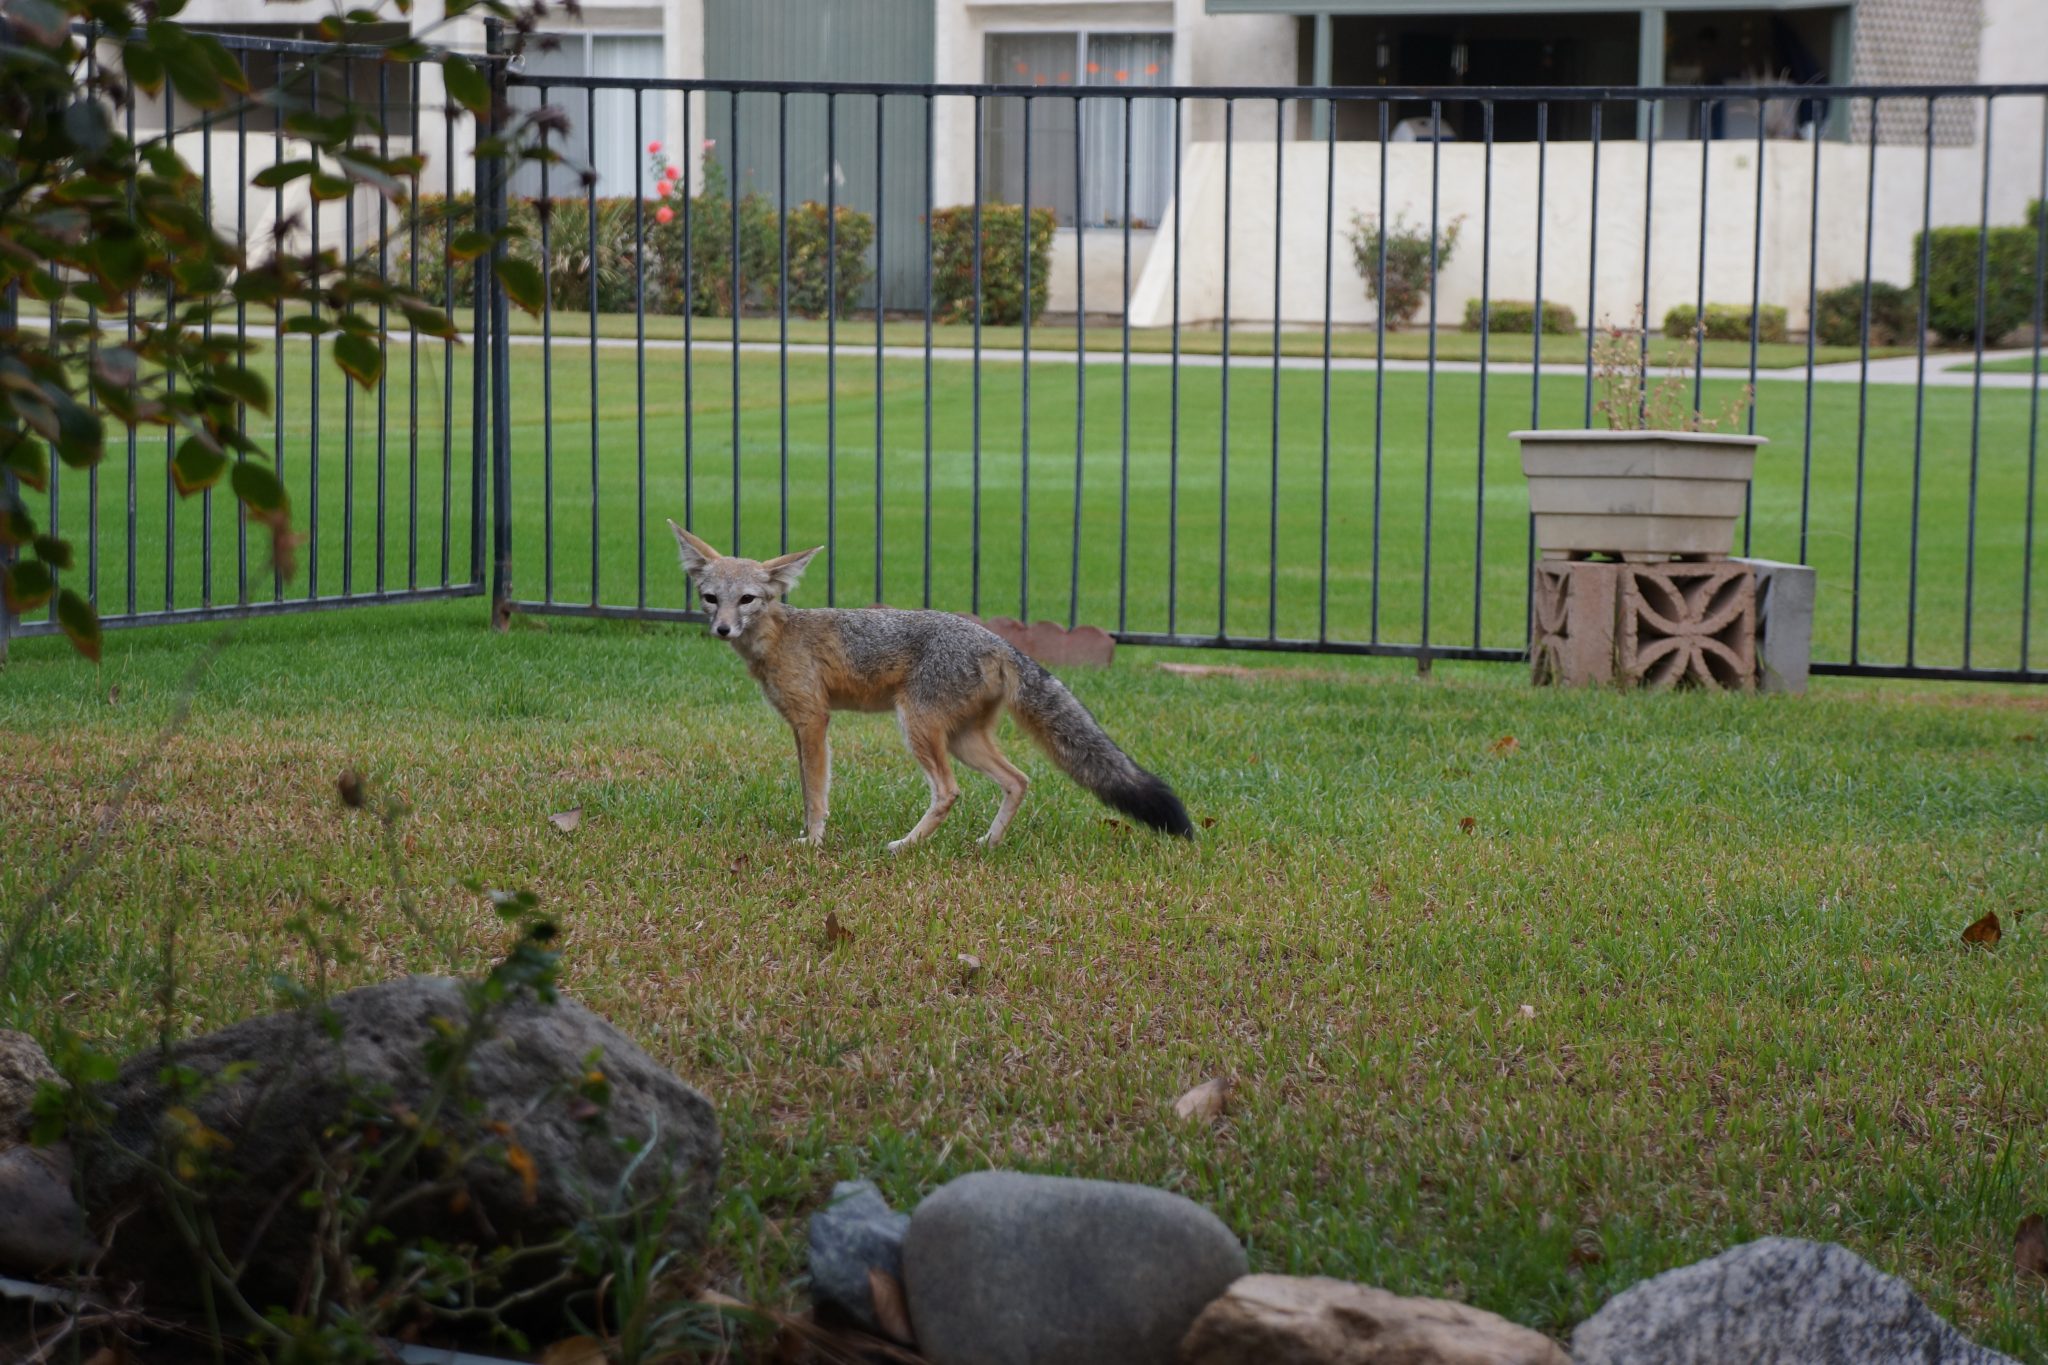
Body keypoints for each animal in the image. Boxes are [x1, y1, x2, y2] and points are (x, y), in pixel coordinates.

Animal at [666, 521, 1194, 851]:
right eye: (711, 598)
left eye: (747, 599)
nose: (722, 629)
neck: (779, 637)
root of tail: (997, 641)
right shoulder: (800, 726)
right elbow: (806, 789)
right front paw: (808, 837)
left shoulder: (813, 721)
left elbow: (814, 793)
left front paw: (813, 842)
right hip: (963, 739)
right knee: (1018, 780)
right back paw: (988, 843)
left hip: (918, 728)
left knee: (949, 791)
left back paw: (905, 845)